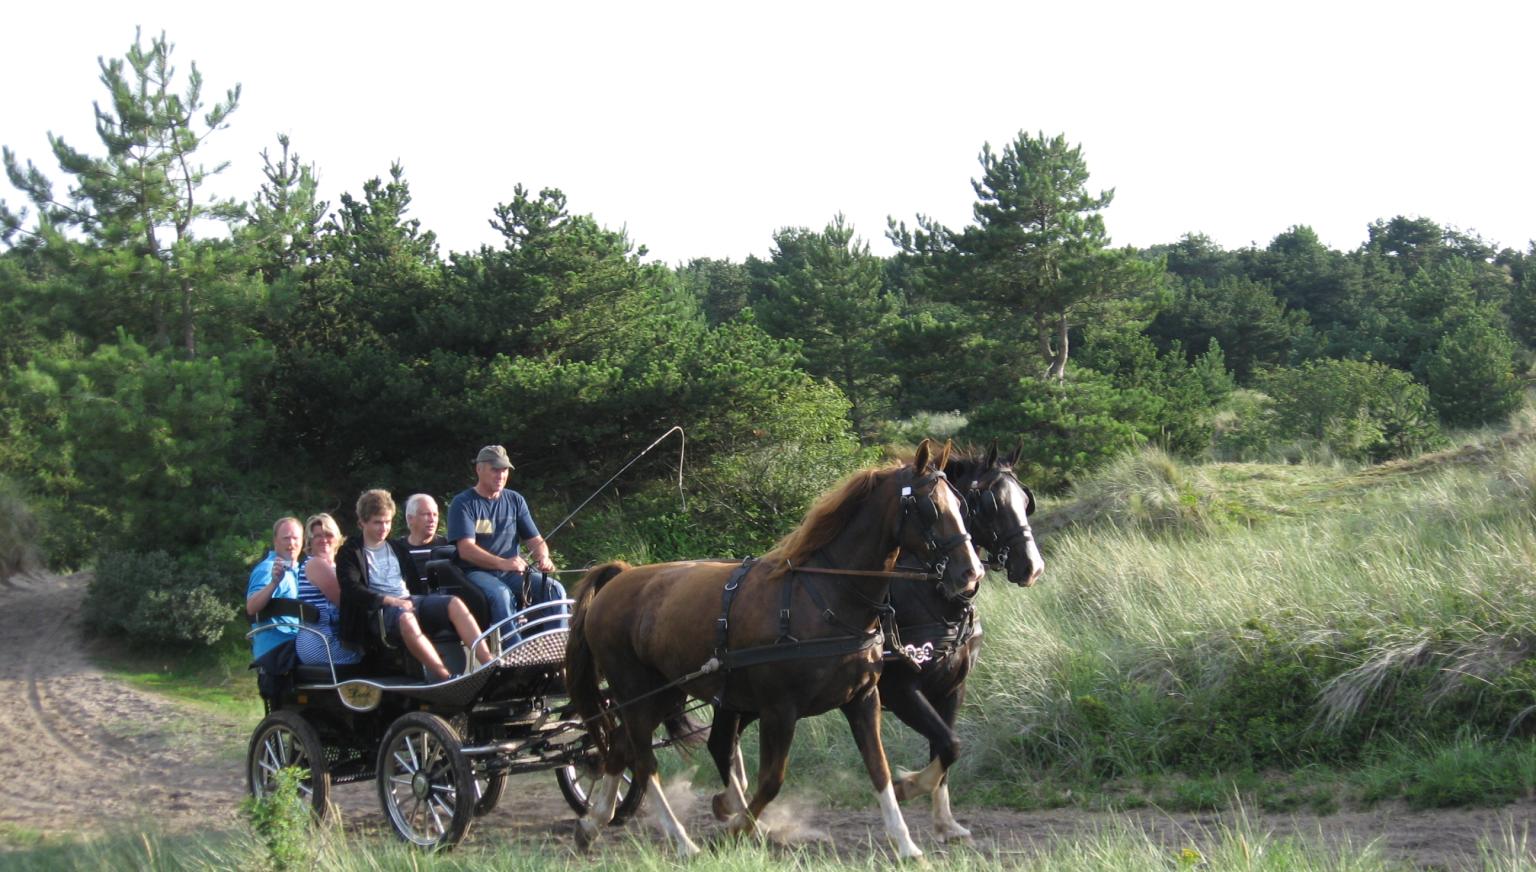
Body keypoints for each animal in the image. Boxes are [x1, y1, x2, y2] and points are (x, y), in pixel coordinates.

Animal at [565, 442, 983, 859]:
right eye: (931, 507)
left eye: (962, 505)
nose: (971, 573)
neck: (823, 598)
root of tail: (618, 580)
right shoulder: (780, 710)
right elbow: (771, 781)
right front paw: (736, 827)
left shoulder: (864, 699)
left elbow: (880, 768)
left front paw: (905, 840)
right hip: (637, 692)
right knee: (643, 759)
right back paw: (681, 839)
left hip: (667, 693)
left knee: (620, 748)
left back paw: (592, 823)